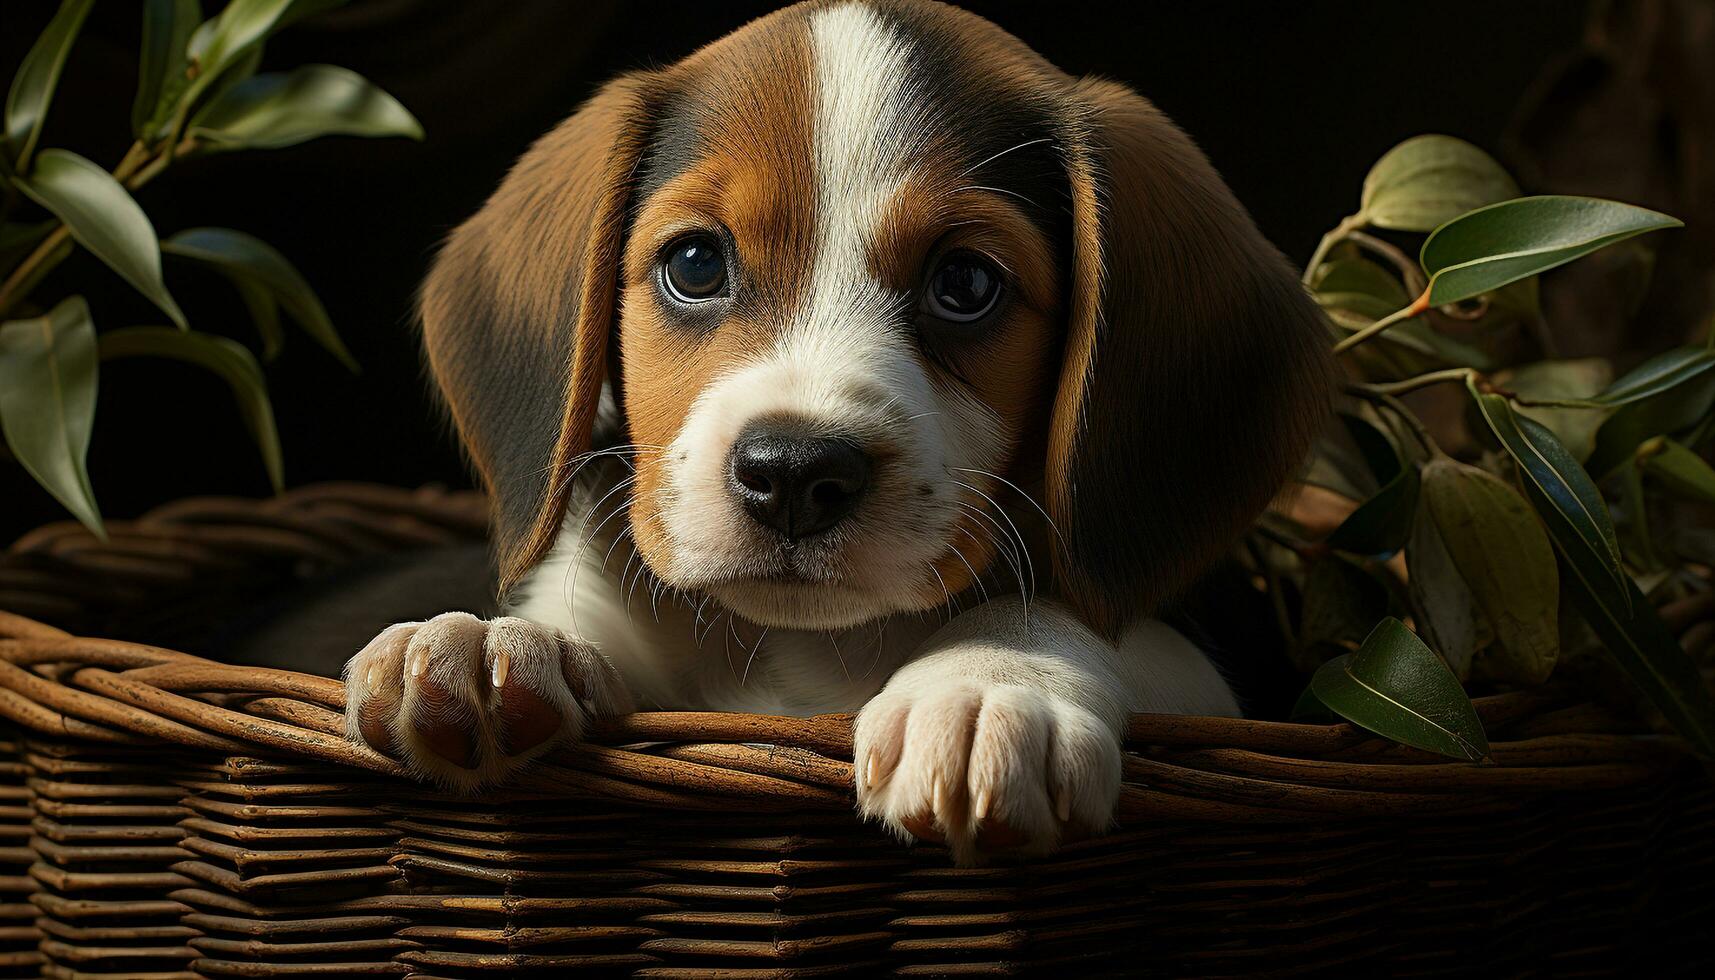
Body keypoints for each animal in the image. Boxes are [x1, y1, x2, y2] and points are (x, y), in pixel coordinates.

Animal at [348, 0, 1330, 861]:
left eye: (965, 284)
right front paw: (489, 644)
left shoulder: (1224, 689)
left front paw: (989, 683)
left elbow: (1065, 611)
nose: (792, 472)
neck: (807, 648)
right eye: (695, 263)